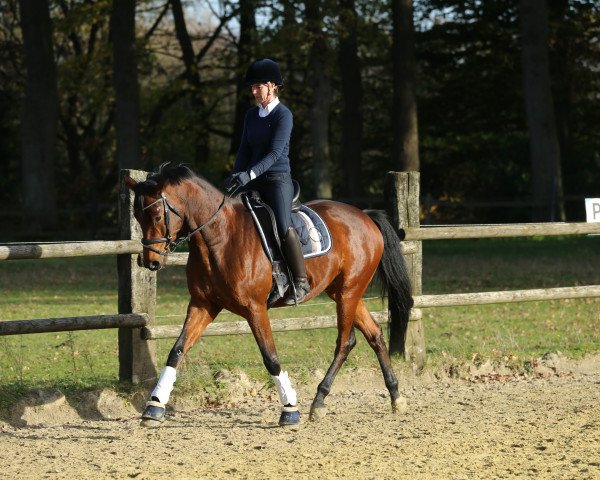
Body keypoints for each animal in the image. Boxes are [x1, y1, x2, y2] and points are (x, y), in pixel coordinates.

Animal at [124, 163, 414, 426]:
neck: (219, 237)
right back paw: (396, 396)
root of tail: (364, 216)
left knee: (346, 342)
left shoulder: (255, 308)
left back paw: (319, 401)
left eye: (157, 216)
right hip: (343, 292)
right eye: (137, 217)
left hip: (348, 292)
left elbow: (271, 358)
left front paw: (290, 410)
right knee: (374, 334)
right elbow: (177, 350)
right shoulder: (203, 304)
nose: (150, 262)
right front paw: (154, 407)